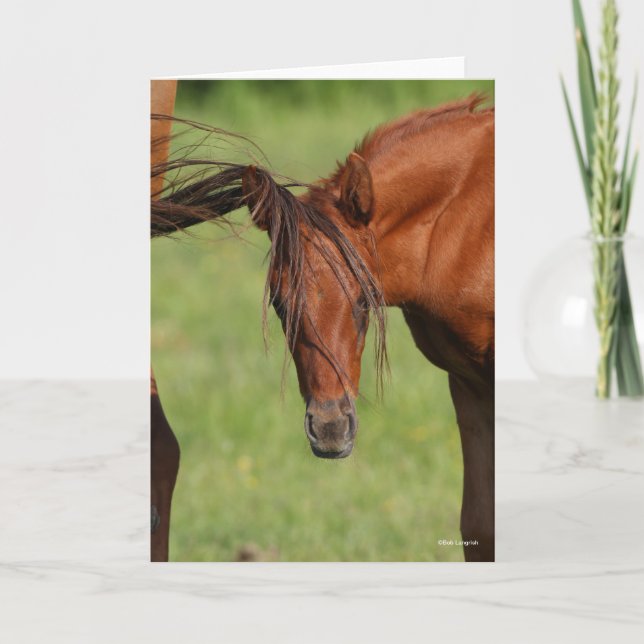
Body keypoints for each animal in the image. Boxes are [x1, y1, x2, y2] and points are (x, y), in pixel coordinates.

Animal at [152, 95, 495, 562]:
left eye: (365, 298)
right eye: (279, 303)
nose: (329, 429)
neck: (468, 223)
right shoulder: (469, 383)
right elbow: (480, 525)